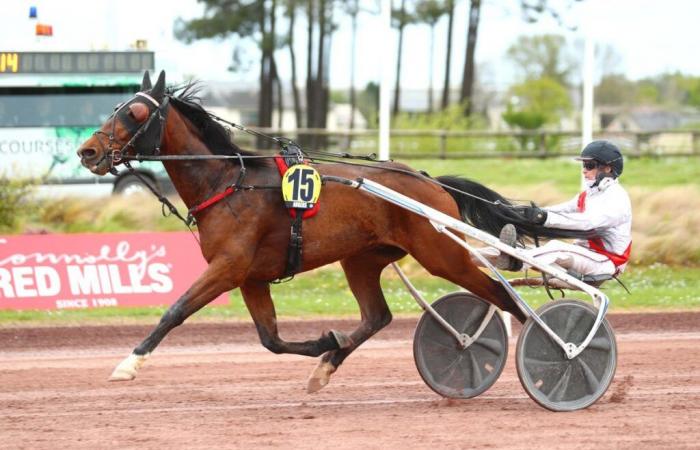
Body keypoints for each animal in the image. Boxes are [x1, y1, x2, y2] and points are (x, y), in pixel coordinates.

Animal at [76, 71, 588, 394]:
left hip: (443, 253)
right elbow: (270, 339)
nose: (87, 151)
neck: (228, 182)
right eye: (117, 108)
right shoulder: (251, 277)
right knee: (378, 316)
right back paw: (330, 364)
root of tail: (432, 183)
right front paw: (325, 344)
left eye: (135, 113)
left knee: (506, 297)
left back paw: (558, 355)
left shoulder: (229, 267)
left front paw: (128, 363)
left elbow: (175, 310)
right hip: (361, 258)